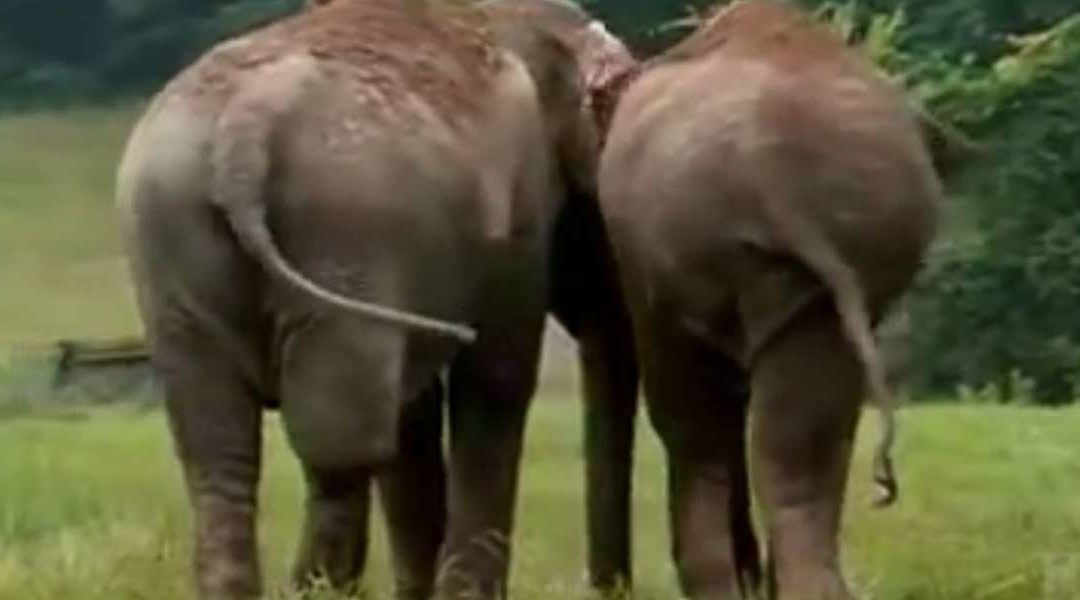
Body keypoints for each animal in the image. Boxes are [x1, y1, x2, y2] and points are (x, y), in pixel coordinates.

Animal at [116, 1, 639, 600]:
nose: (611, 587)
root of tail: (242, 135)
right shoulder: (519, 213)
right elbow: (495, 381)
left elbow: (416, 412)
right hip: (345, 229)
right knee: (343, 443)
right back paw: (316, 588)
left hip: (174, 237)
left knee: (218, 447)